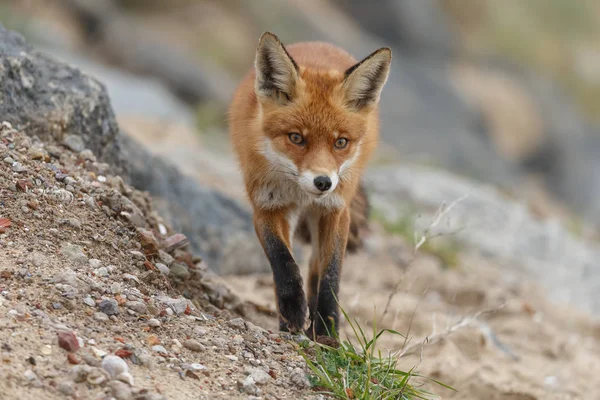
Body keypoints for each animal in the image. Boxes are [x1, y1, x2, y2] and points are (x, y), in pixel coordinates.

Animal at [227, 32, 392, 338]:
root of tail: (318, 43)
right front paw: (292, 313)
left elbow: (330, 277)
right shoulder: (266, 206)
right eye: (296, 138)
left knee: (316, 268)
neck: (301, 193)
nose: (323, 182)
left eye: (341, 142)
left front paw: (328, 332)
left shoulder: (336, 210)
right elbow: (283, 262)